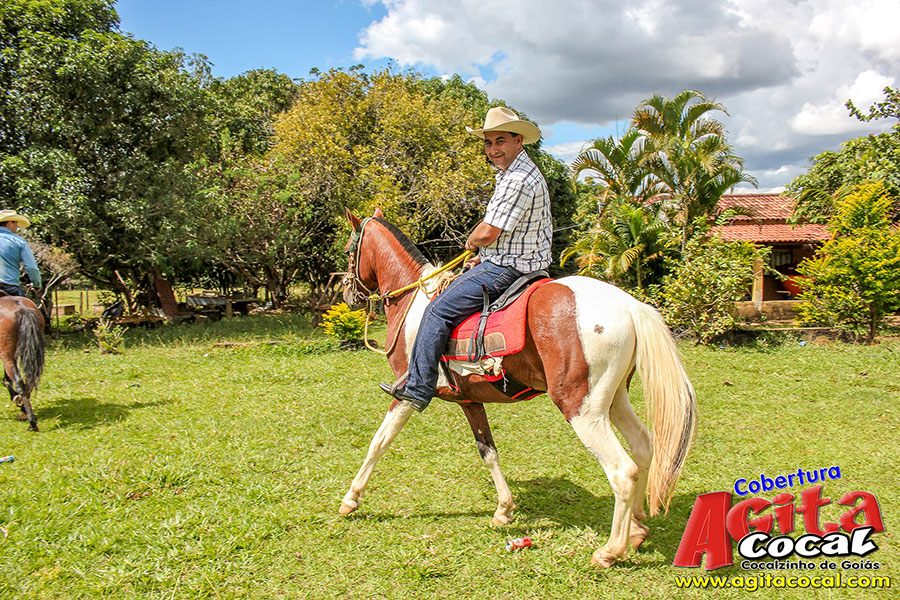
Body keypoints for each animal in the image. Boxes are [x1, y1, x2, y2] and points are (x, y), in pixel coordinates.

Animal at [338, 208, 696, 568]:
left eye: (348, 251)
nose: (347, 294)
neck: (414, 305)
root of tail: (629, 306)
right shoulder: (469, 401)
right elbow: (488, 451)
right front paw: (504, 509)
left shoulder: (408, 393)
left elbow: (379, 441)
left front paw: (351, 499)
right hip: (615, 399)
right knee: (644, 447)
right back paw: (636, 527)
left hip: (582, 409)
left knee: (623, 471)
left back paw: (610, 551)